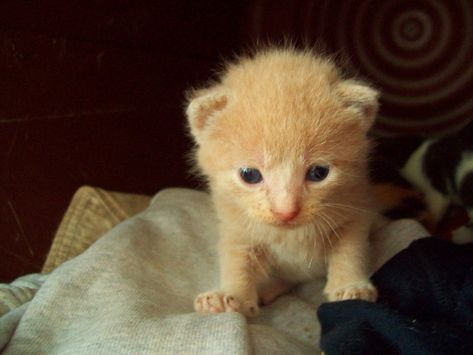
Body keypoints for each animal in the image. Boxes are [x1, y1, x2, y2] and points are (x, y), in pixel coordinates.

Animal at [186, 47, 378, 318]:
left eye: (319, 173)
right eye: (250, 175)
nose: (286, 211)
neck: (290, 237)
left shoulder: (357, 209)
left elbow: (350, 250)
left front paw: (349, 286)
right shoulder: (236, 226)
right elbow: (238, 261)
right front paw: (231, 296)